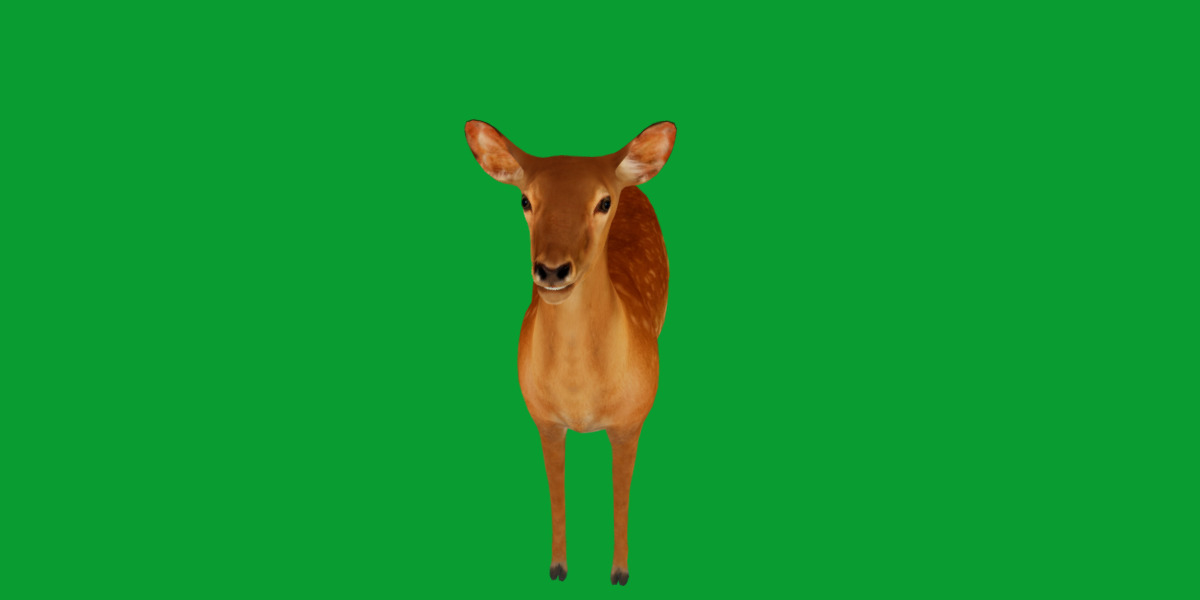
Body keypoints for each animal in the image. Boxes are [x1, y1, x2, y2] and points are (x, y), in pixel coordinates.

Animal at [464, 120, 676, 586]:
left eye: (604, 201)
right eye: (525, 199)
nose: (552, 270)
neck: (583, 401)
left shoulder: (632, 420)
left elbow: (620, 495)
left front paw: (619, 573)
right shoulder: (543, 418)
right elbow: (556, 491)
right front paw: (558, 568)